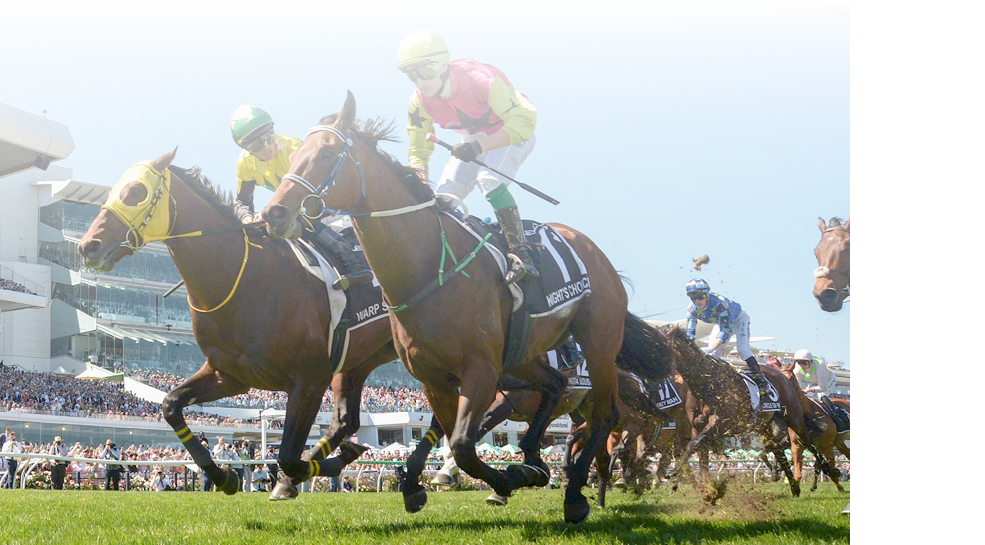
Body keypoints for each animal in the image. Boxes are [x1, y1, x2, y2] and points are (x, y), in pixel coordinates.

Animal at [76, 151, 396, 500]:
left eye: (136, 191)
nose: (88, 246)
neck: (246, 279)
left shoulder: (310, 378)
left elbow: (288, 455)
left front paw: (295, 475)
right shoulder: (229, 375)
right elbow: (171, 404)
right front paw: (223, 475)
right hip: (360, 360)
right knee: (346, 421)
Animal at [260, 93, 668, 524]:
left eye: (326, 152)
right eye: (292, 157)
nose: (275, 212)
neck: (426, 268)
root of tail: (593, 249)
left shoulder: (481, 369)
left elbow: (462, 443)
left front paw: (501, 480)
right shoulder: (433, 377)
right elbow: (454, 439)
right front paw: (488, 478)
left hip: (599, 344)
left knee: (604, 418)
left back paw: (574, 493)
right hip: (526, 354)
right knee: (557, 387)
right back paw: (535, 461)